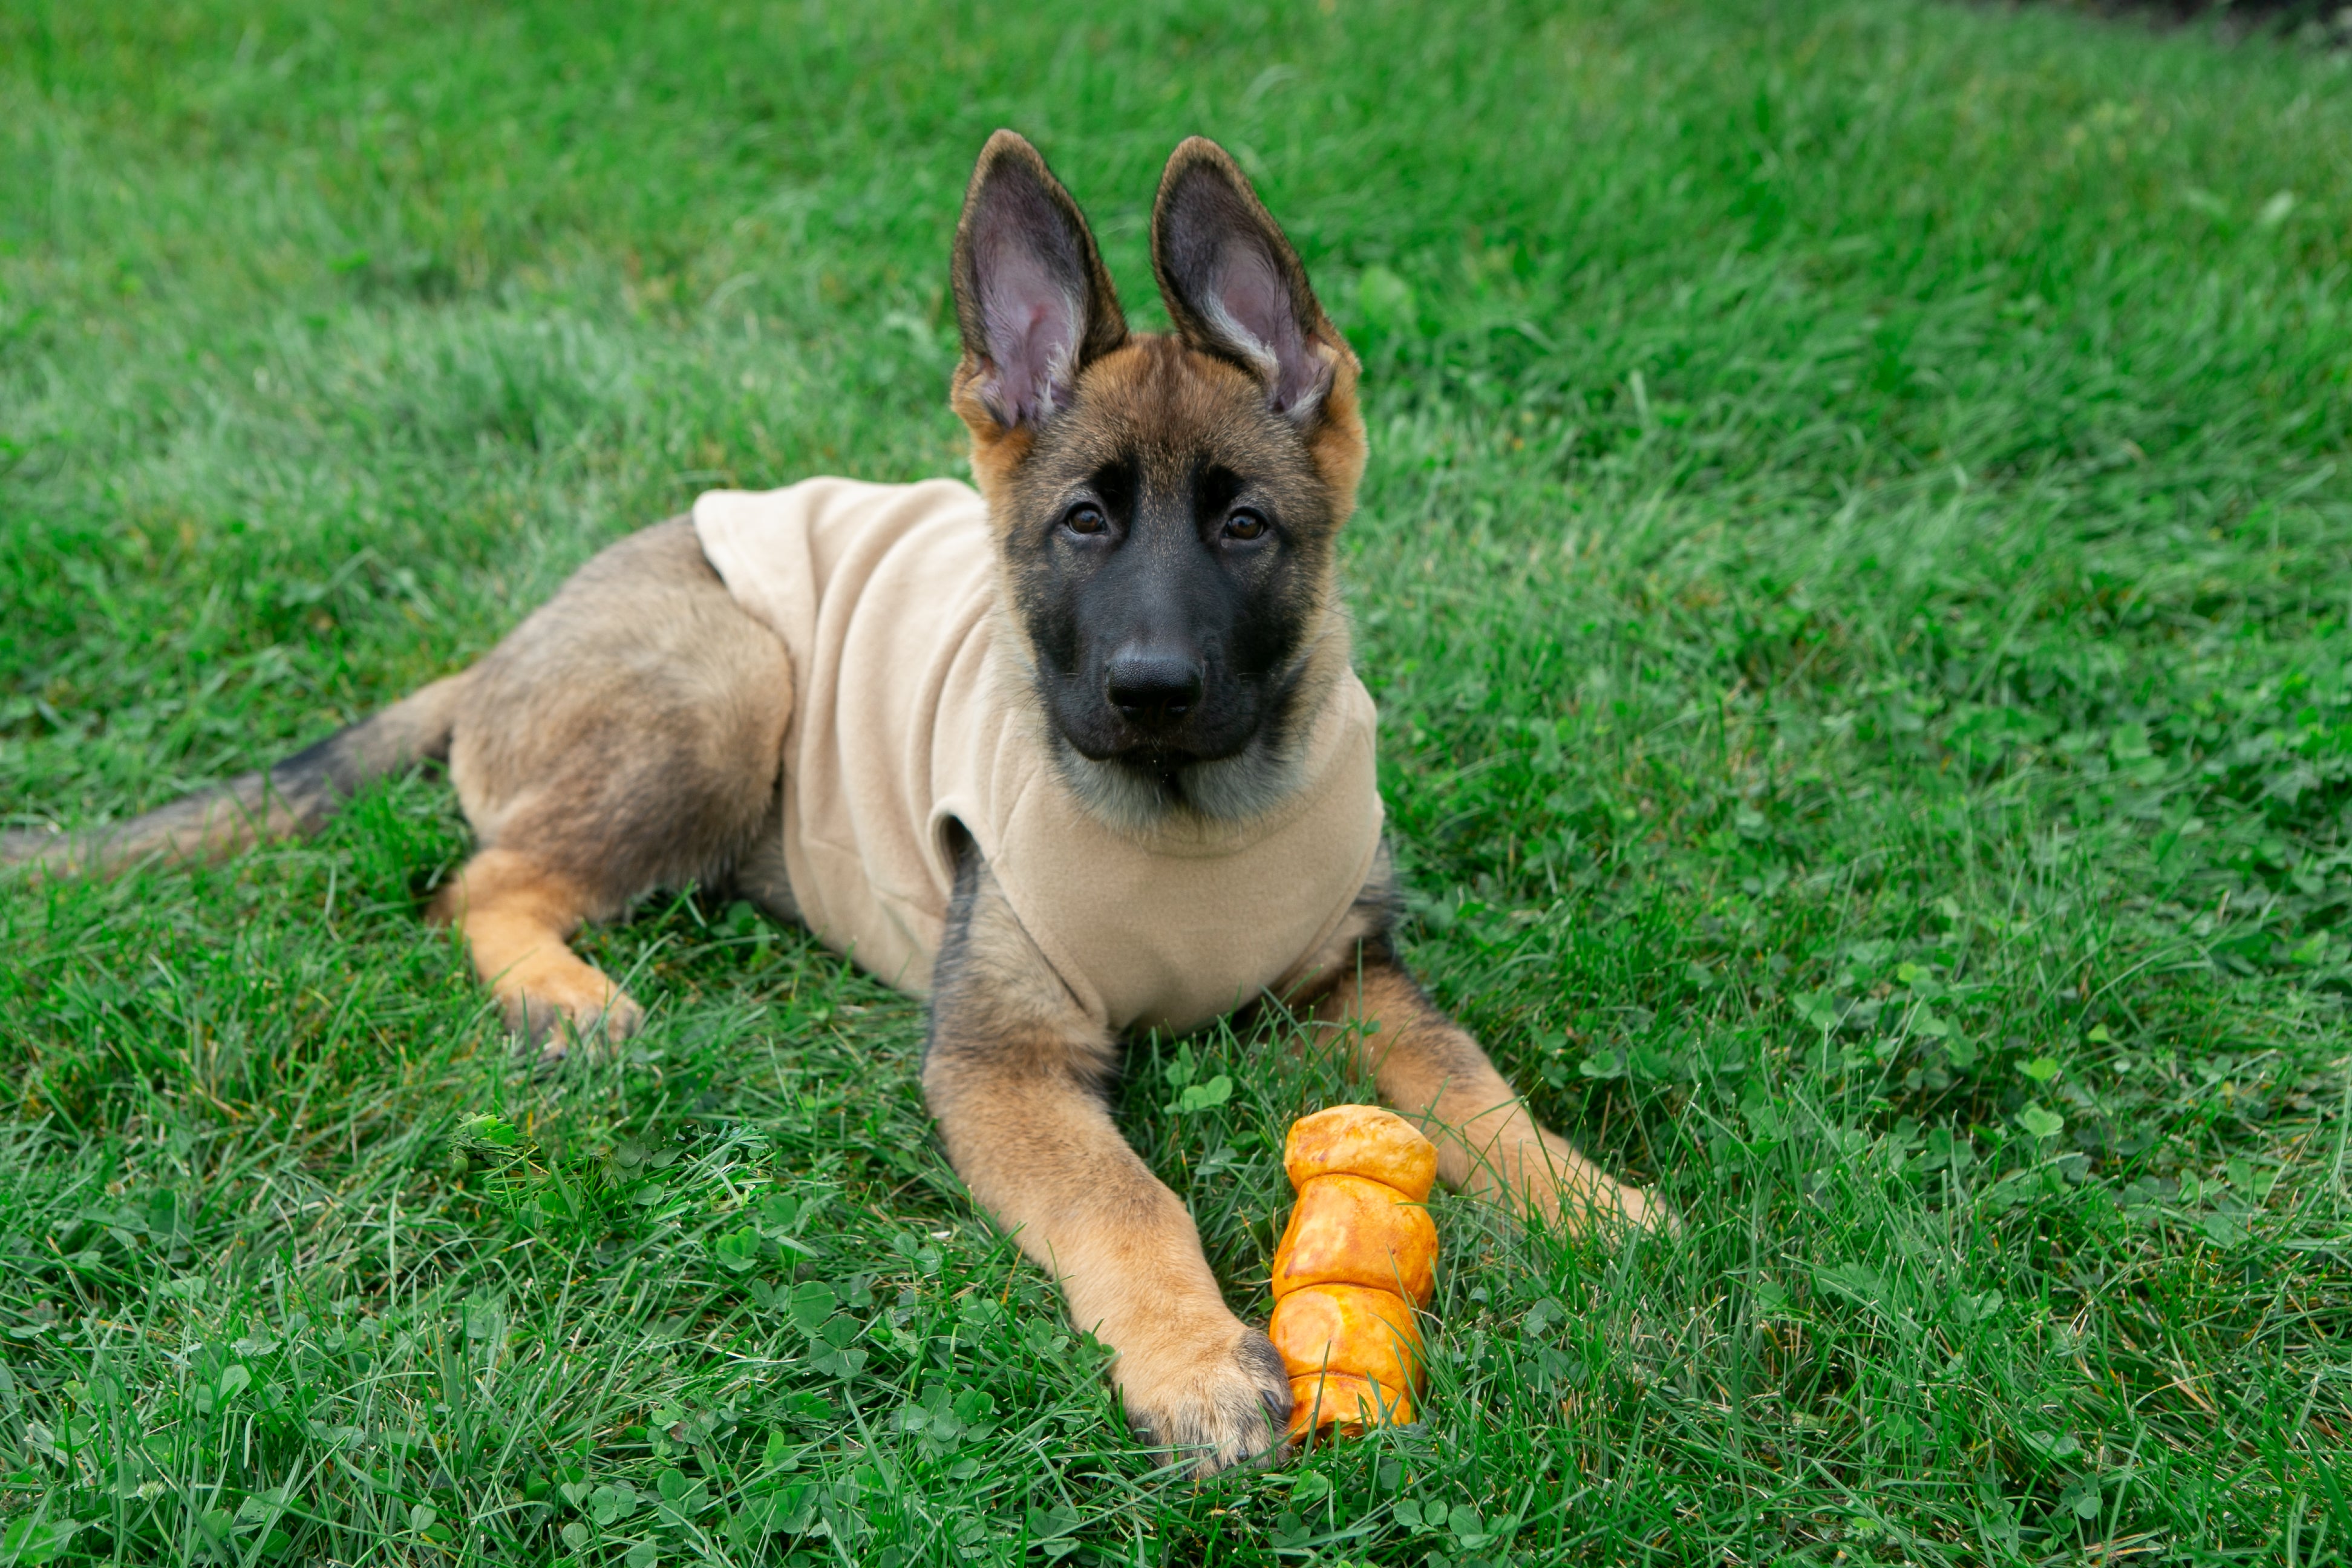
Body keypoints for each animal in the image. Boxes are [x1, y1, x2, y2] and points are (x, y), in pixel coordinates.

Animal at [9, 131, 1665, 1476]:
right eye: (1083, 524)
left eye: (1246, 527)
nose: (1147, 689)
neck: (1193, 815)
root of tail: (509, 645)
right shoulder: (1000, 1063)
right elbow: (1129, 1202)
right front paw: (1195, 1362)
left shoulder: (1356, 983)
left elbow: (1473, 1089)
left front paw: (1591, 1206)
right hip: (734, 677)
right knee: (476, 880)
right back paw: (562, 995)